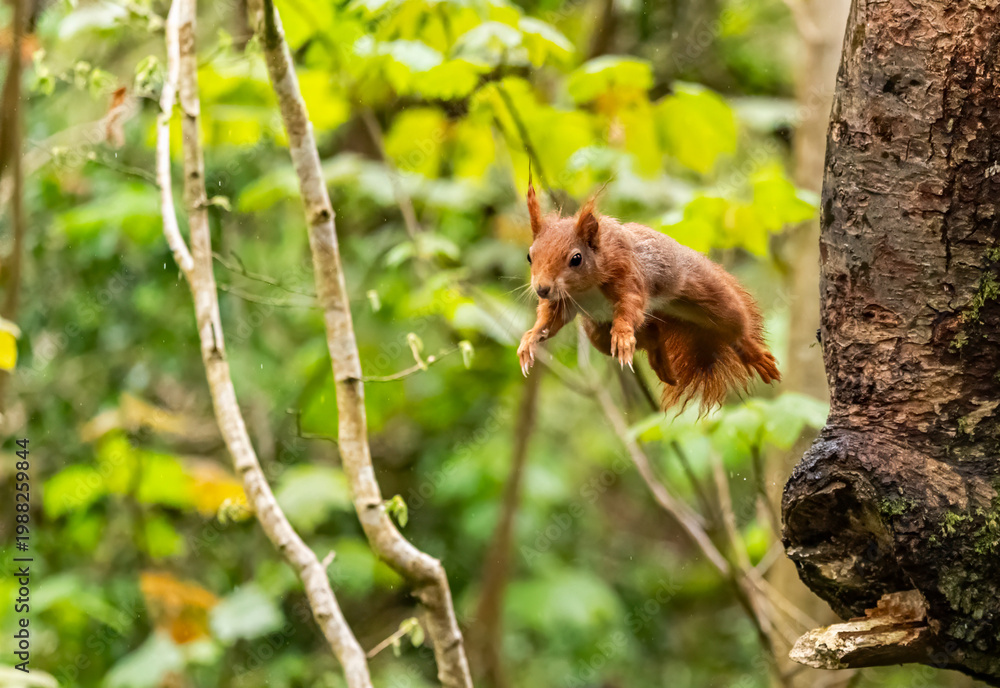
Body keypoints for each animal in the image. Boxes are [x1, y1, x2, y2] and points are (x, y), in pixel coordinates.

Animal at [517, 182, 781, 412]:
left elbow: (630, 305)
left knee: (734, 325)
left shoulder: (627, 274)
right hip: (599, 333)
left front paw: (623, 334)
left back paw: (752, 352)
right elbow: (550, 321)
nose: (542, 288)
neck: (583, 289)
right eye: (530, 256)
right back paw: (661, 364)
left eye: (576, 258)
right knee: (652, 336)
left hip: (709, 295)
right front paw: (530, 339)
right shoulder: (562, 302)